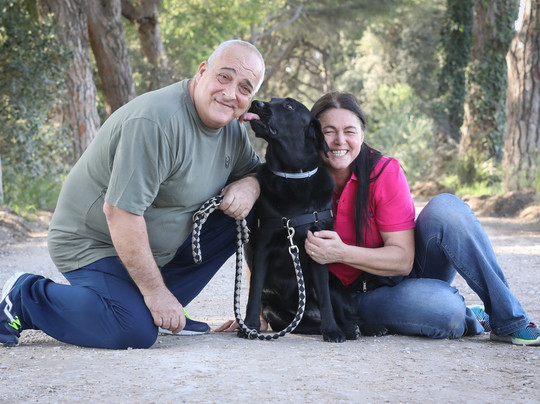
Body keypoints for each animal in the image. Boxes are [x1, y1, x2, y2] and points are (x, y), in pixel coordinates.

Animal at [240, 97, 361, 342]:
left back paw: (353, 328)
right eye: (272, 100)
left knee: (349, 316)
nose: (256, 103)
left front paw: (332, 330)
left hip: (336, 289)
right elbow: (254, 292)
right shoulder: (263, 248)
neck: (294, 176)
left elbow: (324, 298)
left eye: (288, 106)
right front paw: (249, 326)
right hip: (275, 310)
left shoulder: (320, 247)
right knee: (301, 325)